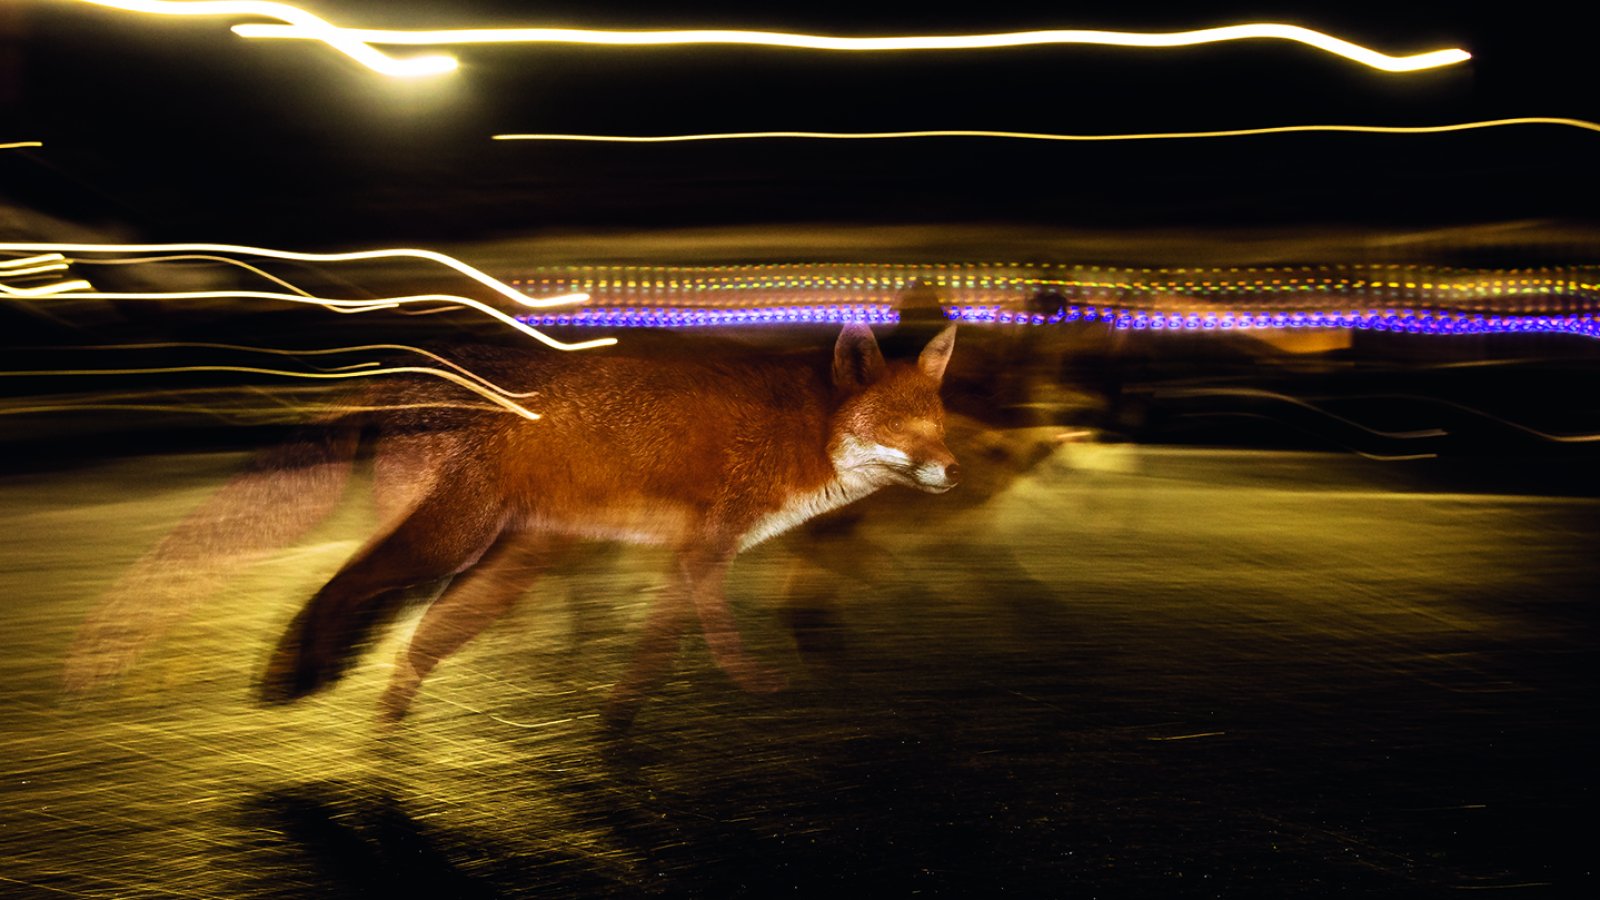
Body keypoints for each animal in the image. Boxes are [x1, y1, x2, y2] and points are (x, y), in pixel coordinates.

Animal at [62, 323, 959, 725]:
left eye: (941, 426)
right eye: (905, 429)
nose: (956, 473)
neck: (803, 431)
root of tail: (410, 369)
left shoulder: (686, 555)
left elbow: (656, 644)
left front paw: (619, 716)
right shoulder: (708, 549)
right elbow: (708, 638)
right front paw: (750, 685)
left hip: (500, 560)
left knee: (418, 631)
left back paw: (385, 705)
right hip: (452, 541)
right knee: (347, 582)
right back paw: (298, 672)